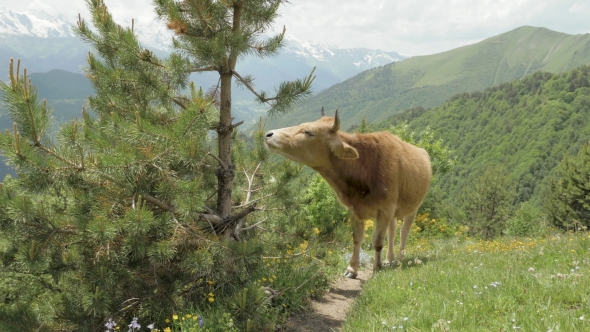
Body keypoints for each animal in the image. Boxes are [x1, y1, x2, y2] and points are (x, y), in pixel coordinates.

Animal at [266, 109, 432, 278]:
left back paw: (398, 259)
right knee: (392, 230)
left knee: (404, 231)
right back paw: (389, 259)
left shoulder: (385, 209)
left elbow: (378, 241)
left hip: (413, 207)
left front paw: (376, 269)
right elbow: (357, 238)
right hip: (394, 211)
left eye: (309, 132)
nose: (269, 134)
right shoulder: (355, 209)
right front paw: (352, 269)